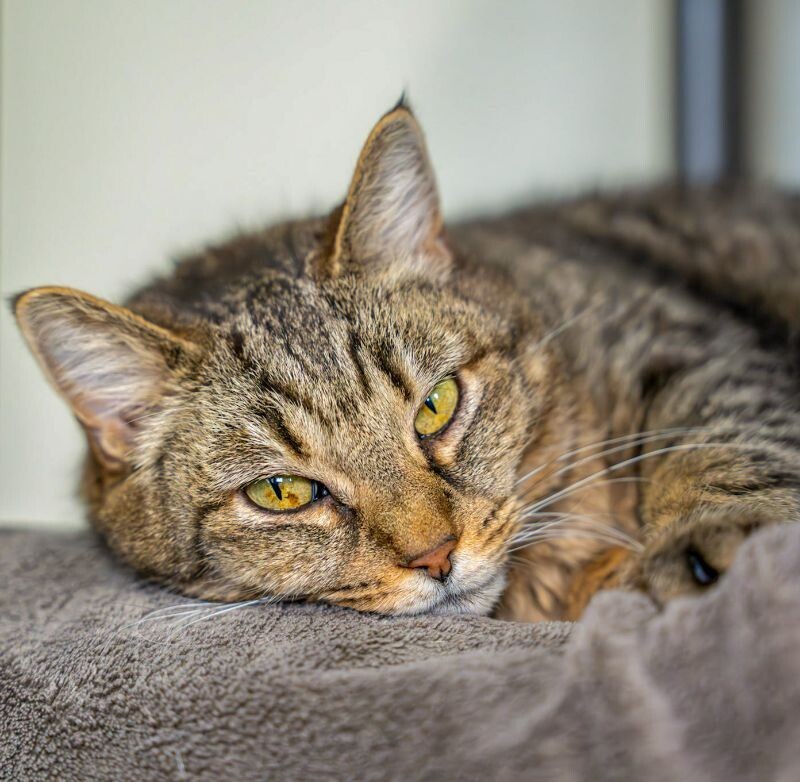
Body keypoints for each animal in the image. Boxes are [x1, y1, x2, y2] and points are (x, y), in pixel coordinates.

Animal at [12, 101, 800, 620]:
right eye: (281, 492)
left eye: (436, 405)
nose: (437, 556)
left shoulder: (683, 337)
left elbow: (724, 436)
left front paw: (719, 539)